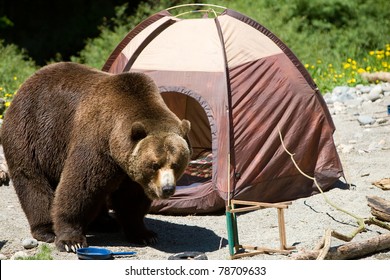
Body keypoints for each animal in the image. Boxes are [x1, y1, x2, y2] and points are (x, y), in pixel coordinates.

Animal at [0, 62, 191, 253]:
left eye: (176, 164)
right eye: (154, 164)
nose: (167, 189)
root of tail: (27, 83)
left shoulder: (130, 169)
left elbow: (132, 199)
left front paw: (144, 234)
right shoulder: (97, 142)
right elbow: (81, 186)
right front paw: (71, 240)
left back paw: (105, 222)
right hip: (32, 134)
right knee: (32, 181)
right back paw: (47, 229)